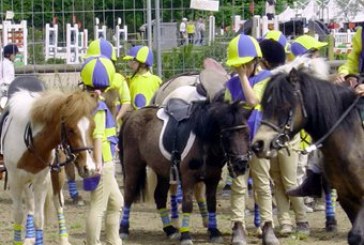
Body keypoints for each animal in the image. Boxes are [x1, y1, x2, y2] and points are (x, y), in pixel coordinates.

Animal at [3, 90, 96, 245]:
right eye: (70, 129)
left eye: (92, 127)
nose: (89, 168)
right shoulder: (15, 181)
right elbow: (18, 215)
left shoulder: (41, 182)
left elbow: (39, 218)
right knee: (30, 205)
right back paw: (29, 237)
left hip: (56, 176)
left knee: (58, 203)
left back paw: (63, 239)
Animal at [119, 97, 250, 245]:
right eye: (227, 136)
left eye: (247, 135)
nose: (241, 164)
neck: (204, 140)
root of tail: (132, 115)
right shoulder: (188, 177)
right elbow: (187, 204)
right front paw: (186, 235)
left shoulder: (213, 178)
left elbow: (212, 203)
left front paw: (214, 232)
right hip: (133, 165)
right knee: (129, 194)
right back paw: (123, 229)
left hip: (163, 170)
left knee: (159, 196)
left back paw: (170, 230)